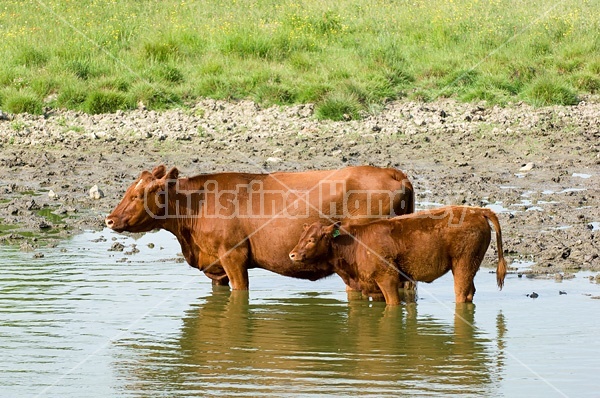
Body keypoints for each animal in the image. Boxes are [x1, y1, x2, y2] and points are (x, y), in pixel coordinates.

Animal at [288, 205, 508, 304]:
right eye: (301, 236)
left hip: (463, 265)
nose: (292, 255)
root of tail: (477, 210)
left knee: (461, 294)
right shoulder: (372, 287)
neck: (355, 242)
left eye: (312, 239)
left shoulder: (388, 280)